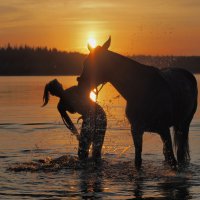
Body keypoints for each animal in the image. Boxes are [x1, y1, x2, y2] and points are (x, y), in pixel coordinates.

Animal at [76, 36, 197, 170]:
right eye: (85, 62)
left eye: (93, 64)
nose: (80, 87)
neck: (141, 89)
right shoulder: (136, 129)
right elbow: (138, 161)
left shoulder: (164, 129)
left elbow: (173, 161)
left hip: (184, 124)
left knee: (179, 154)